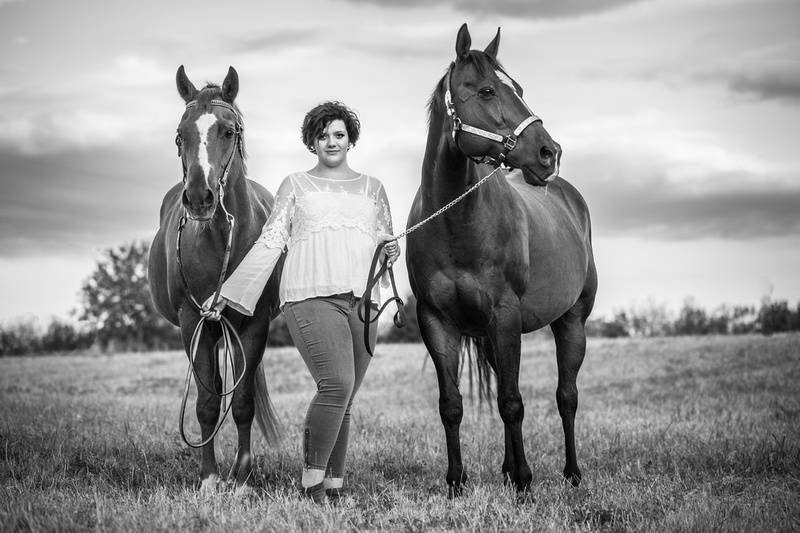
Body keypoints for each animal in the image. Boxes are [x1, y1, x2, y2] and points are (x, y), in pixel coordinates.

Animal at [148, 64, 284, 488]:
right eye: (180, 134)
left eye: (228, 131)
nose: (199, 198)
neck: (224, 237)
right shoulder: (194, 323)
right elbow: (208, 403)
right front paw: (209, 476)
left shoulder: (254, 325)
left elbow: (242, 403)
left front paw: (241, 477)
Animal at [406, 25, 600, 494]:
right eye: (487, 90)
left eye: (521, 90)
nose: (550, 152)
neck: (455, 222)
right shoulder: (436, 321)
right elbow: (452, 405)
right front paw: (456, 482)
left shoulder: (505, 314)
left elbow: (513, 403)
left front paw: (526, 483)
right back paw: (509, 469)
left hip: (571, 321)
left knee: (566, 396)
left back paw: (571, 473)